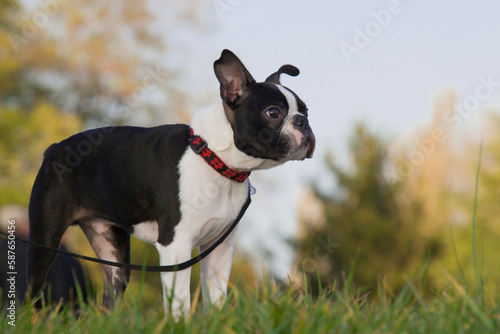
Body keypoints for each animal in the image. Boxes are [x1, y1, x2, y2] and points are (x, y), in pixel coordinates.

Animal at [27, 49, 314, 316]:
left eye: (306, 111)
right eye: (273, 112)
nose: (303, 122)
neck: (215, 160)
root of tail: (54, 148)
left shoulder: (219, 248)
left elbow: (216, 297)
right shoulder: (176, 247)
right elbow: (180, 301)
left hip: (113, 250)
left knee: (111, 294)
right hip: (46, 239)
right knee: (33, 288)